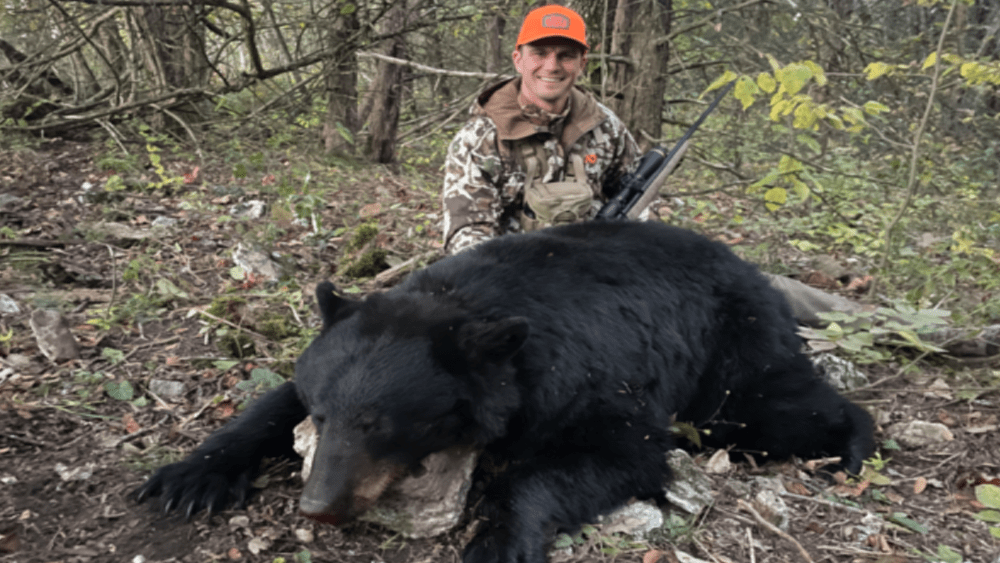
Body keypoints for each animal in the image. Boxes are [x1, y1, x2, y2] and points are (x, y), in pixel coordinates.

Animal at [134, 220, 874, 563]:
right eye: (323, 415)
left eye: (379, 423)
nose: (320, 505)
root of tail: (753, 269)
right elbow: (268, 403)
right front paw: (190, 476)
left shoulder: (593, 378)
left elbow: (614, 454)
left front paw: (498, 537)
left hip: (725, 349)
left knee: (768, 407)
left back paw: (854, 446)